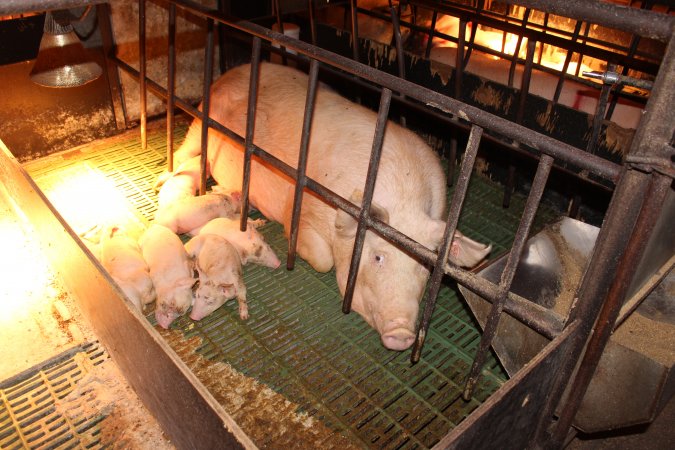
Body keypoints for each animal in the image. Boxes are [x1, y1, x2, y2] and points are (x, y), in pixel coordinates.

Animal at [174, 62, 492, 352]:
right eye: (378, 257)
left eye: (424, 267)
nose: (401, 334)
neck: (402, 199)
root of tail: (232, 72)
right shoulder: (302, 210)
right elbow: (323, 258)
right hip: (200, 122)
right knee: (183, 152)